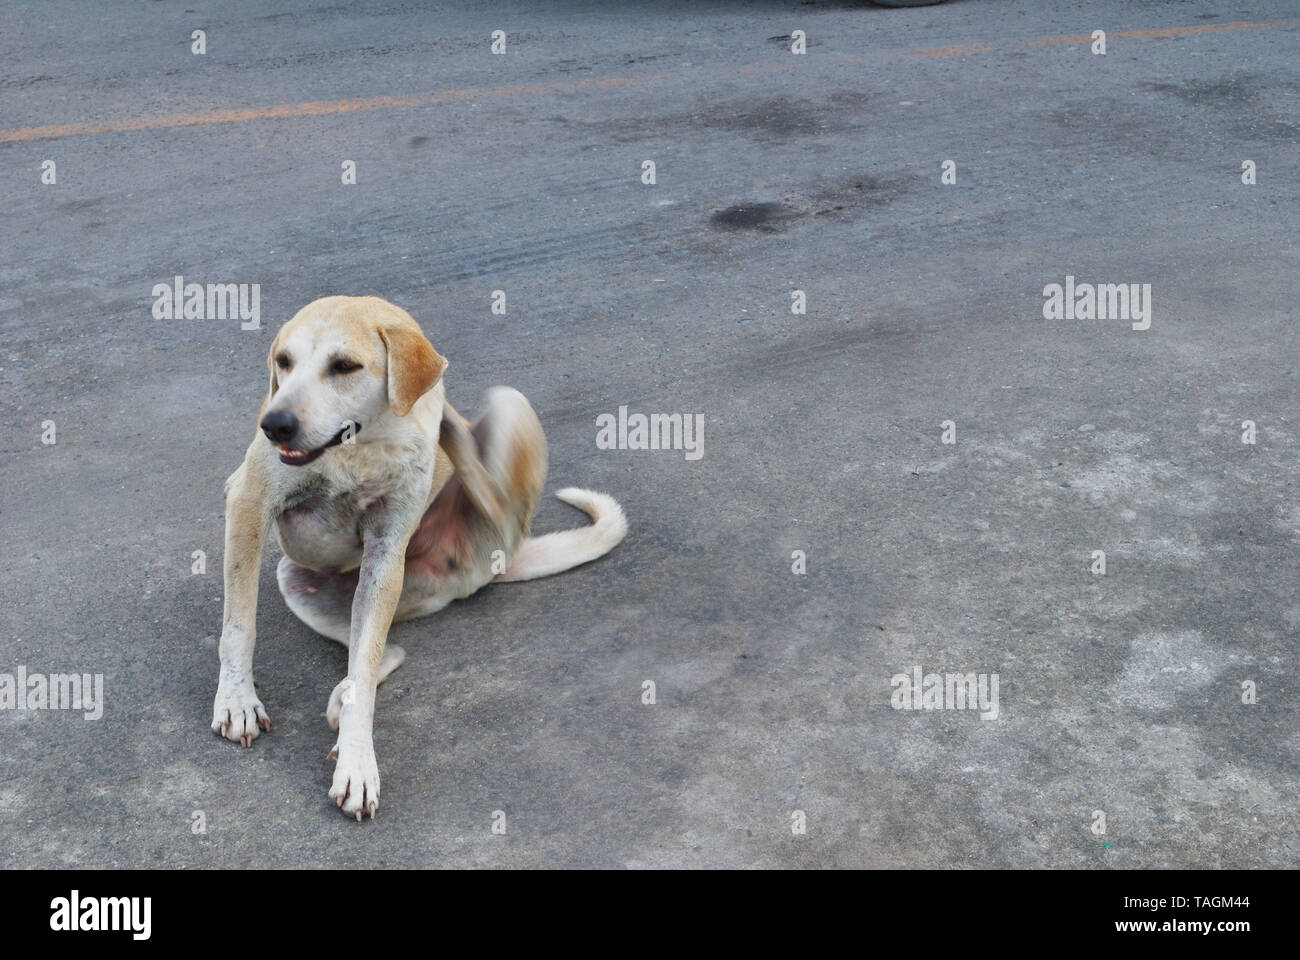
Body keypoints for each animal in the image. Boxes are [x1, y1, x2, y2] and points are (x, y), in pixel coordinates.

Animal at [210, 293, 626, 816]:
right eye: (283, 362)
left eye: (344, 366)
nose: (275, 425)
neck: (360, 447)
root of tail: (484, 569)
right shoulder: (248, 500)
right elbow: (239, 626)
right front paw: (236, 700)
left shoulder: (386, 553)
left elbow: (360, 668)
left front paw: (357, 763)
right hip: (301, 580)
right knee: (383, 654)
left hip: (508, 413)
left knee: (489, 496)